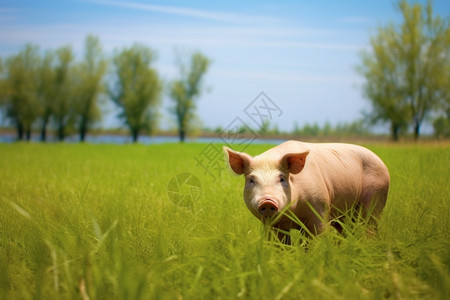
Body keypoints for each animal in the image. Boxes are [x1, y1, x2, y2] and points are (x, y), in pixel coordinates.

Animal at [225, 141, 390, 244]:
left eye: (282, 179)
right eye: (251, 180)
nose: (267, 201)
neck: (291, 215)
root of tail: (382, 163)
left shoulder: (320, 208)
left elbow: (314, 240)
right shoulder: (273, 225)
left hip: (376, 196)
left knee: (370, 226)